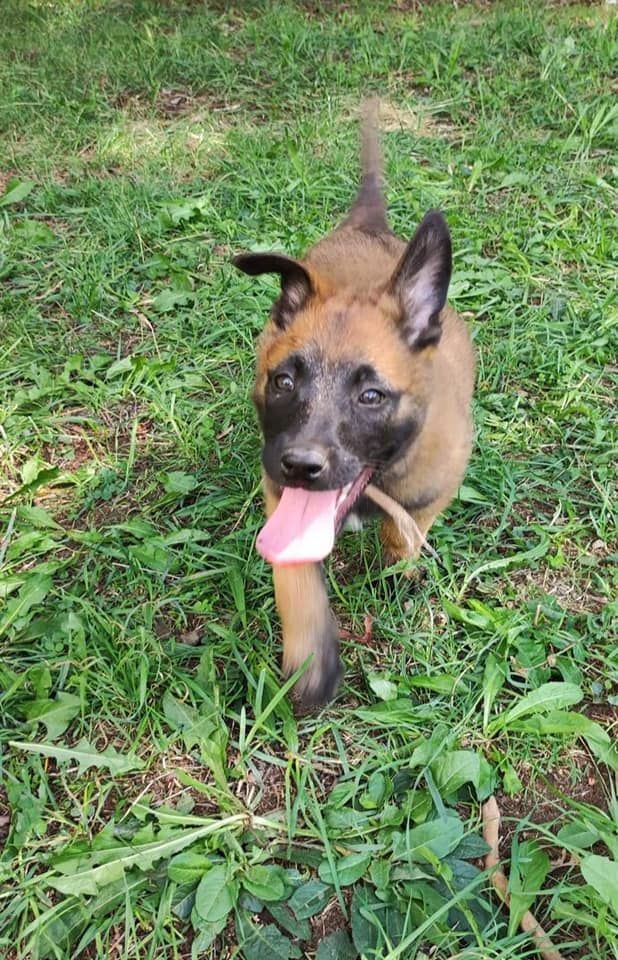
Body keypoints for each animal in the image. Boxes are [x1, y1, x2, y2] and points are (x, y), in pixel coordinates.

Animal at [233, 103, 475, 712]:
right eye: (283, 382)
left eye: (371, 396)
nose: (299, 464)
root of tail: (366, 225)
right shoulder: (280, 500)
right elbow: (296, 578)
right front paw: (310, 663)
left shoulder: (434, 487)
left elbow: (405, 534)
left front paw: (396, 573)